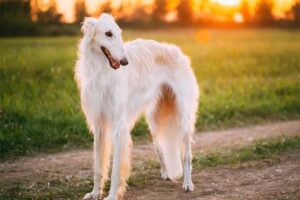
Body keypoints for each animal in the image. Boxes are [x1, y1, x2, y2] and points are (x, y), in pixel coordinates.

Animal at [75, 13, 199, 199]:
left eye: (119, 33)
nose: (124, 62)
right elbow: (98, 166)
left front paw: (112, 195)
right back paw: (166, 173)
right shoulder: (99, 125)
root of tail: (178, 52)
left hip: (183, 118)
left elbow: (116, 168)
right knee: (160, 150)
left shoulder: (119, 125)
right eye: (108, 33)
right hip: (154, 121)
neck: (102, 70)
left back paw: (188, 183)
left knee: (187, 155)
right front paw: (95, 193)